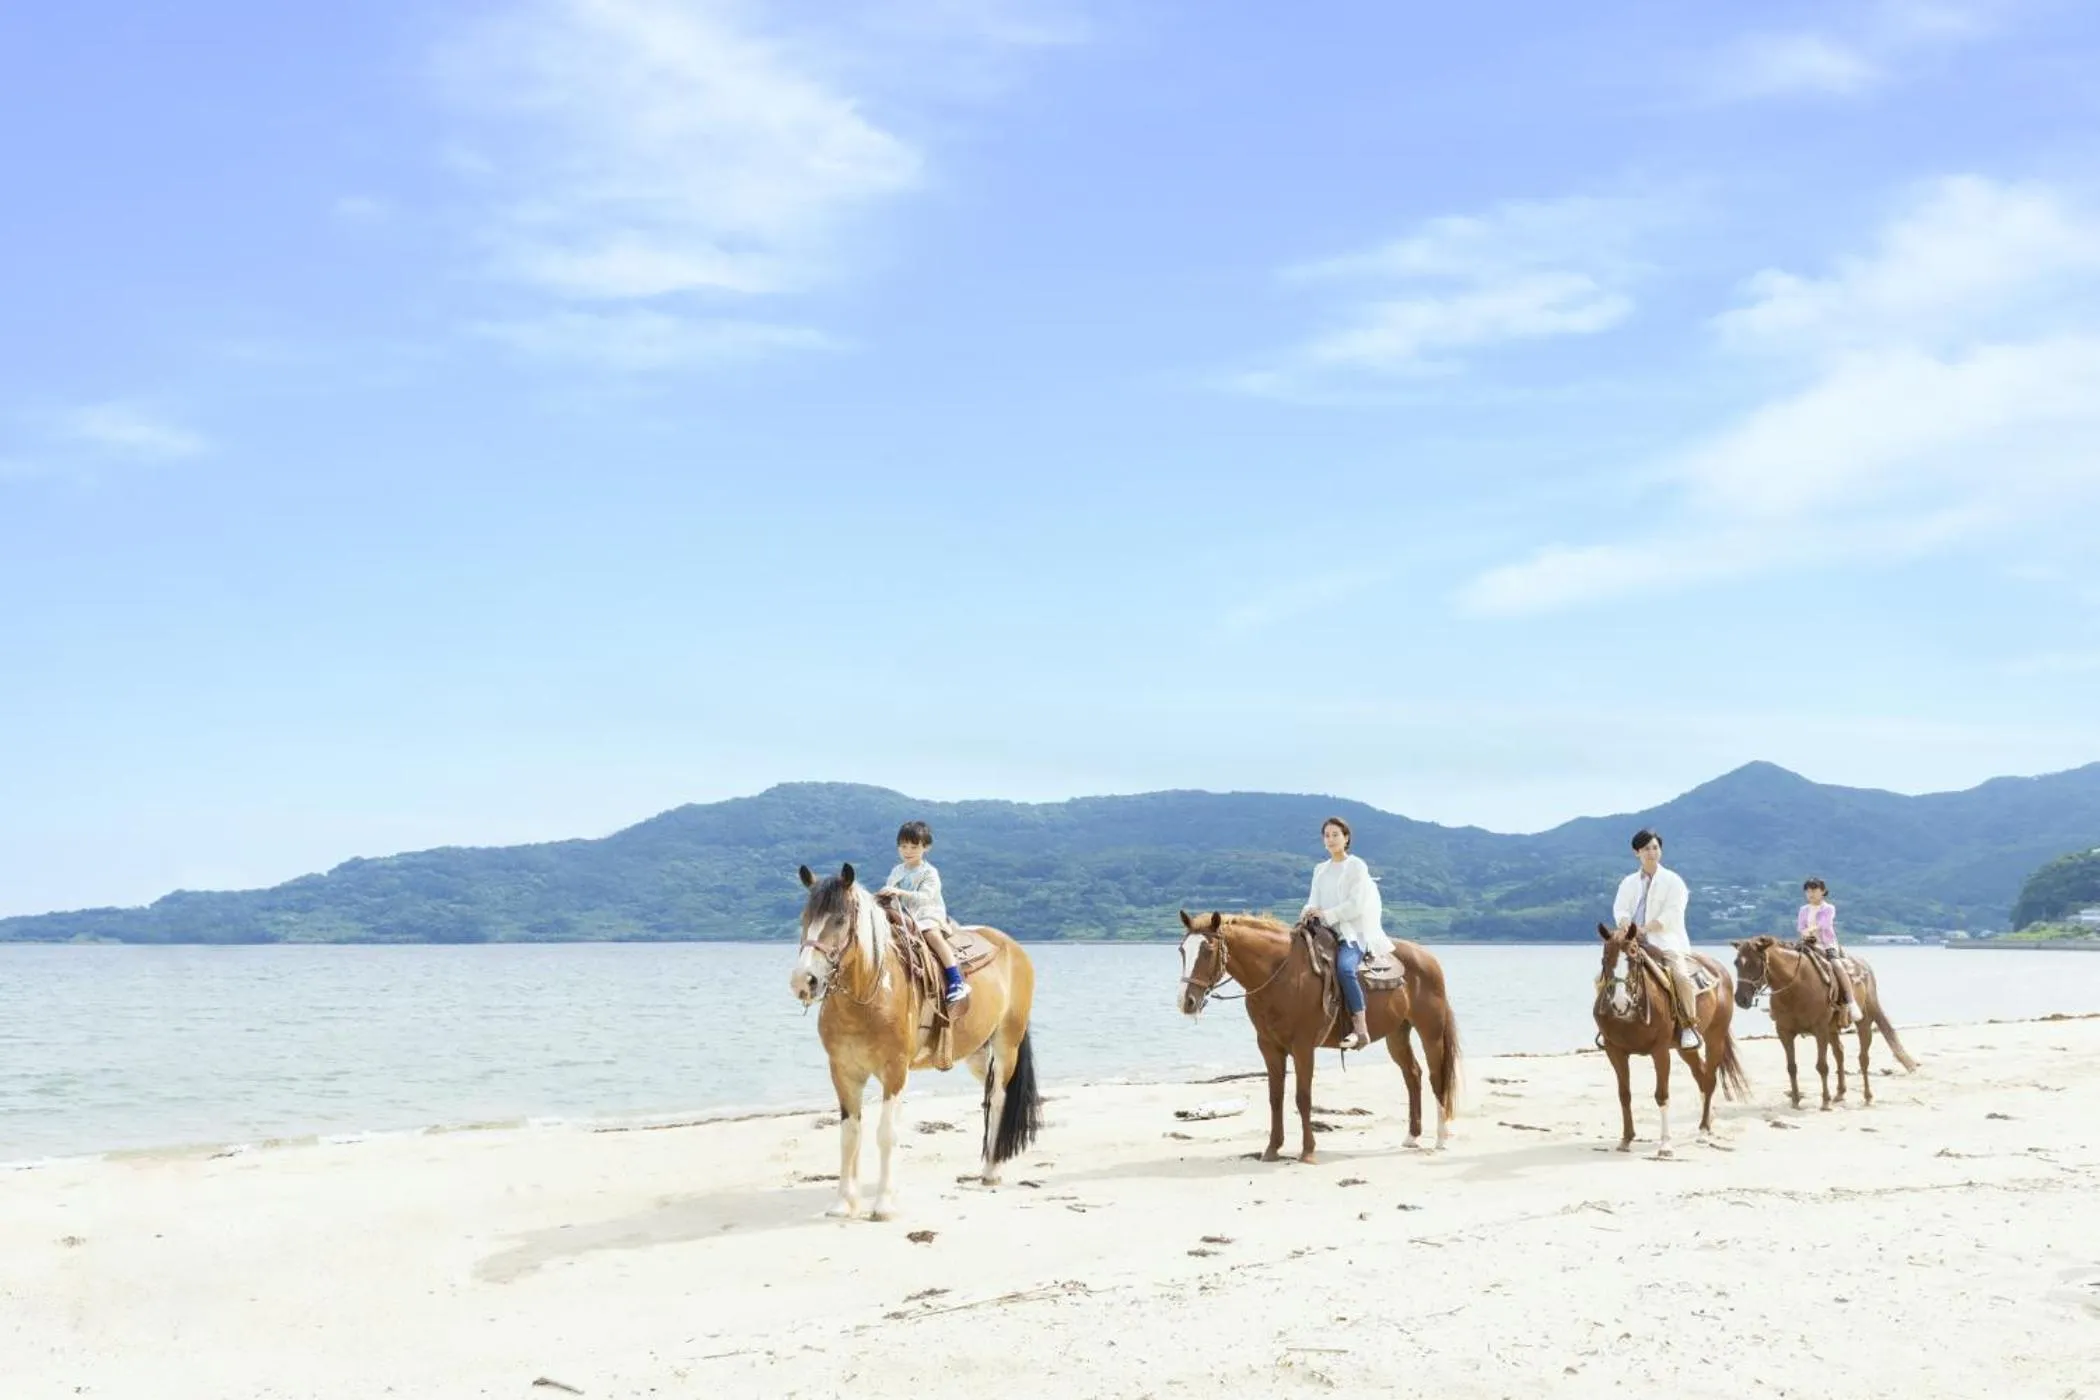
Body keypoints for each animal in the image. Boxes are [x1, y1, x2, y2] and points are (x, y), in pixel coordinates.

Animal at [789, 862, 1041, 1220]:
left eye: (839, 920)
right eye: (805, 917)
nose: (804, 981)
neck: (870, 992)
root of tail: (1012, 947)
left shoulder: (894, 1071)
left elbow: (886, 1134)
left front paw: (883, 1204)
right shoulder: (843, 1072)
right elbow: (850, 1135)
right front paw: (843, 1202)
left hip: (1007, 1045)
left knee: (999, 1100)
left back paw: (991, 1170)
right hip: (978, 1055)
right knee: (989, 1094)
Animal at [1176, 911, 1461, 1162]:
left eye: (1208, 950)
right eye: (1182, 950)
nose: (1186, 1002)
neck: (1280, 974)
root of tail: (1429, 958)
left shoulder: (1303, 1047)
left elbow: (1303, 1098)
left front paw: (1308, 1152)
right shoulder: (1269, 1046)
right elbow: (1275, 1097)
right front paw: (1272, 1149)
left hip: (1430, 1032)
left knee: (1437, 1077)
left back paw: (1441, 1138)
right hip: (1397, 1034)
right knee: (1413, 1074)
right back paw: (1412, 1136)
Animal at [1593, 923, 1749, 1157]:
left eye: (1633, 956)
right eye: (1605, 957)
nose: (1620, 1003)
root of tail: (1717, 968)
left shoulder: (1660, 1051)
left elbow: (1662, 1095)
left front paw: (1665, 1144)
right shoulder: (1615, 1051)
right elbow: (1624, 1094)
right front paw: (1626, 1139)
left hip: (1715, 1037)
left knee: (1709, 1080)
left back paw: (1703, 1130)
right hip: (1686, 1049)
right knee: (1702, 1077)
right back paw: (1708, 1122)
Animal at [1731, 935, 1918, 1109]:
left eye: (1755, 963)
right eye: (1736, 963)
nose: (1740, 999)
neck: (1795, 988)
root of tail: (1864, 967)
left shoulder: (1820, 1030)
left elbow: (1822, 1066)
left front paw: (1825, 1102)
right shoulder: (1784, 1032)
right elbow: (1791, 1067)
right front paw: (1796, 1100)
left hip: (1863, 1022)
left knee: (1863, 1059)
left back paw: (1867, 1096)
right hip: (1832, 1029)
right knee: (1839, 1054)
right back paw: (1840, 1093)